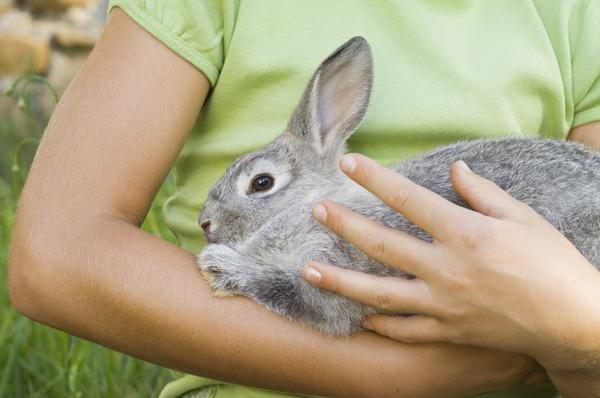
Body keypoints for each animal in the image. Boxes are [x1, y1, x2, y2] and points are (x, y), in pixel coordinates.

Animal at [197, 36, 600, 336]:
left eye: (261, 183)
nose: (205, 223)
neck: (311, 203)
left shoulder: (334, 273)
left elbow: (289, 291)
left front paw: (219, 264)